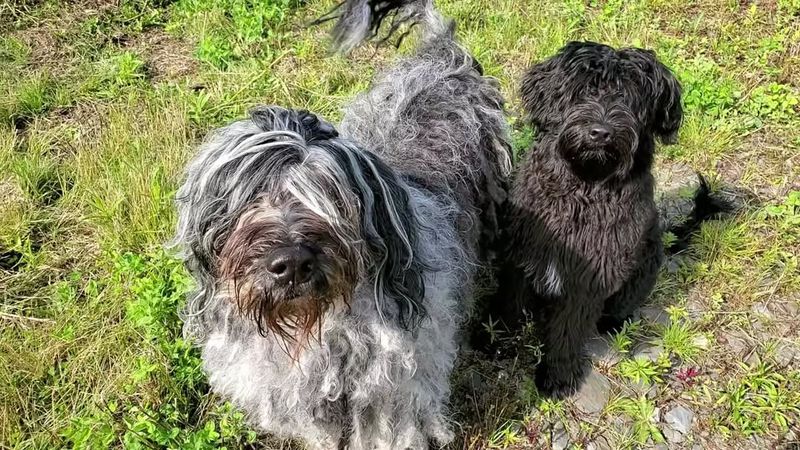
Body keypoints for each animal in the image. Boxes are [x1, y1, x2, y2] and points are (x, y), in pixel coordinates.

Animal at [171, 0, 510, 448]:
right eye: (250, 198)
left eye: (331, 198)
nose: (292, 264)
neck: (321, 326)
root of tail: (442, 55)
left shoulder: (392, 399)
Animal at [488, 42, 732, 398]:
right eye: (585, 90)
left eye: (630, 99)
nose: (600, 133)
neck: (585, 188)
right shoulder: (521, 255)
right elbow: (509, 303)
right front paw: (492, 338)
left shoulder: (589, 277)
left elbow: (568, 329)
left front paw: (557, 376)